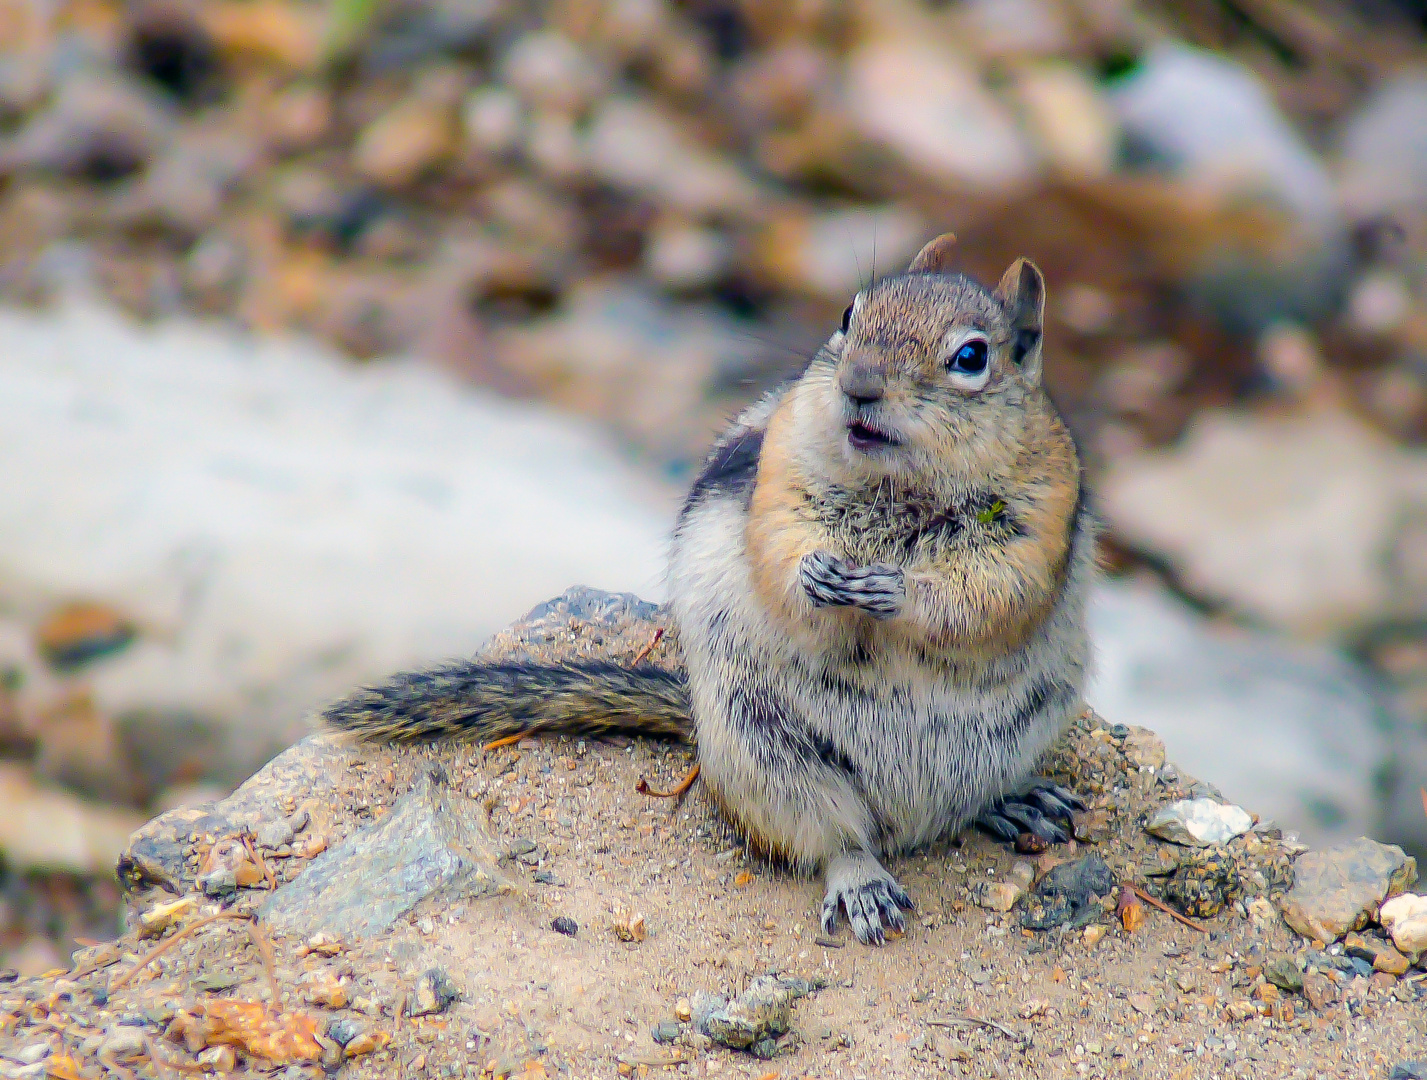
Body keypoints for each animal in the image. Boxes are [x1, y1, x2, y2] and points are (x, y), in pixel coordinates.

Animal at [328, 231, 1095, 941]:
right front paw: (814, 579)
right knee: (835, 837)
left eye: (971, 357)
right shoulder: (778, 474)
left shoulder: (1040, 519)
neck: (898, 490)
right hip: (763, 749)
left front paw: (895, 592)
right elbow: (778, 553)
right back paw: (862, 878)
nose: (859, 384)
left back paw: (1012, 802)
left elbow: (991, 599)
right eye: (848, 314)